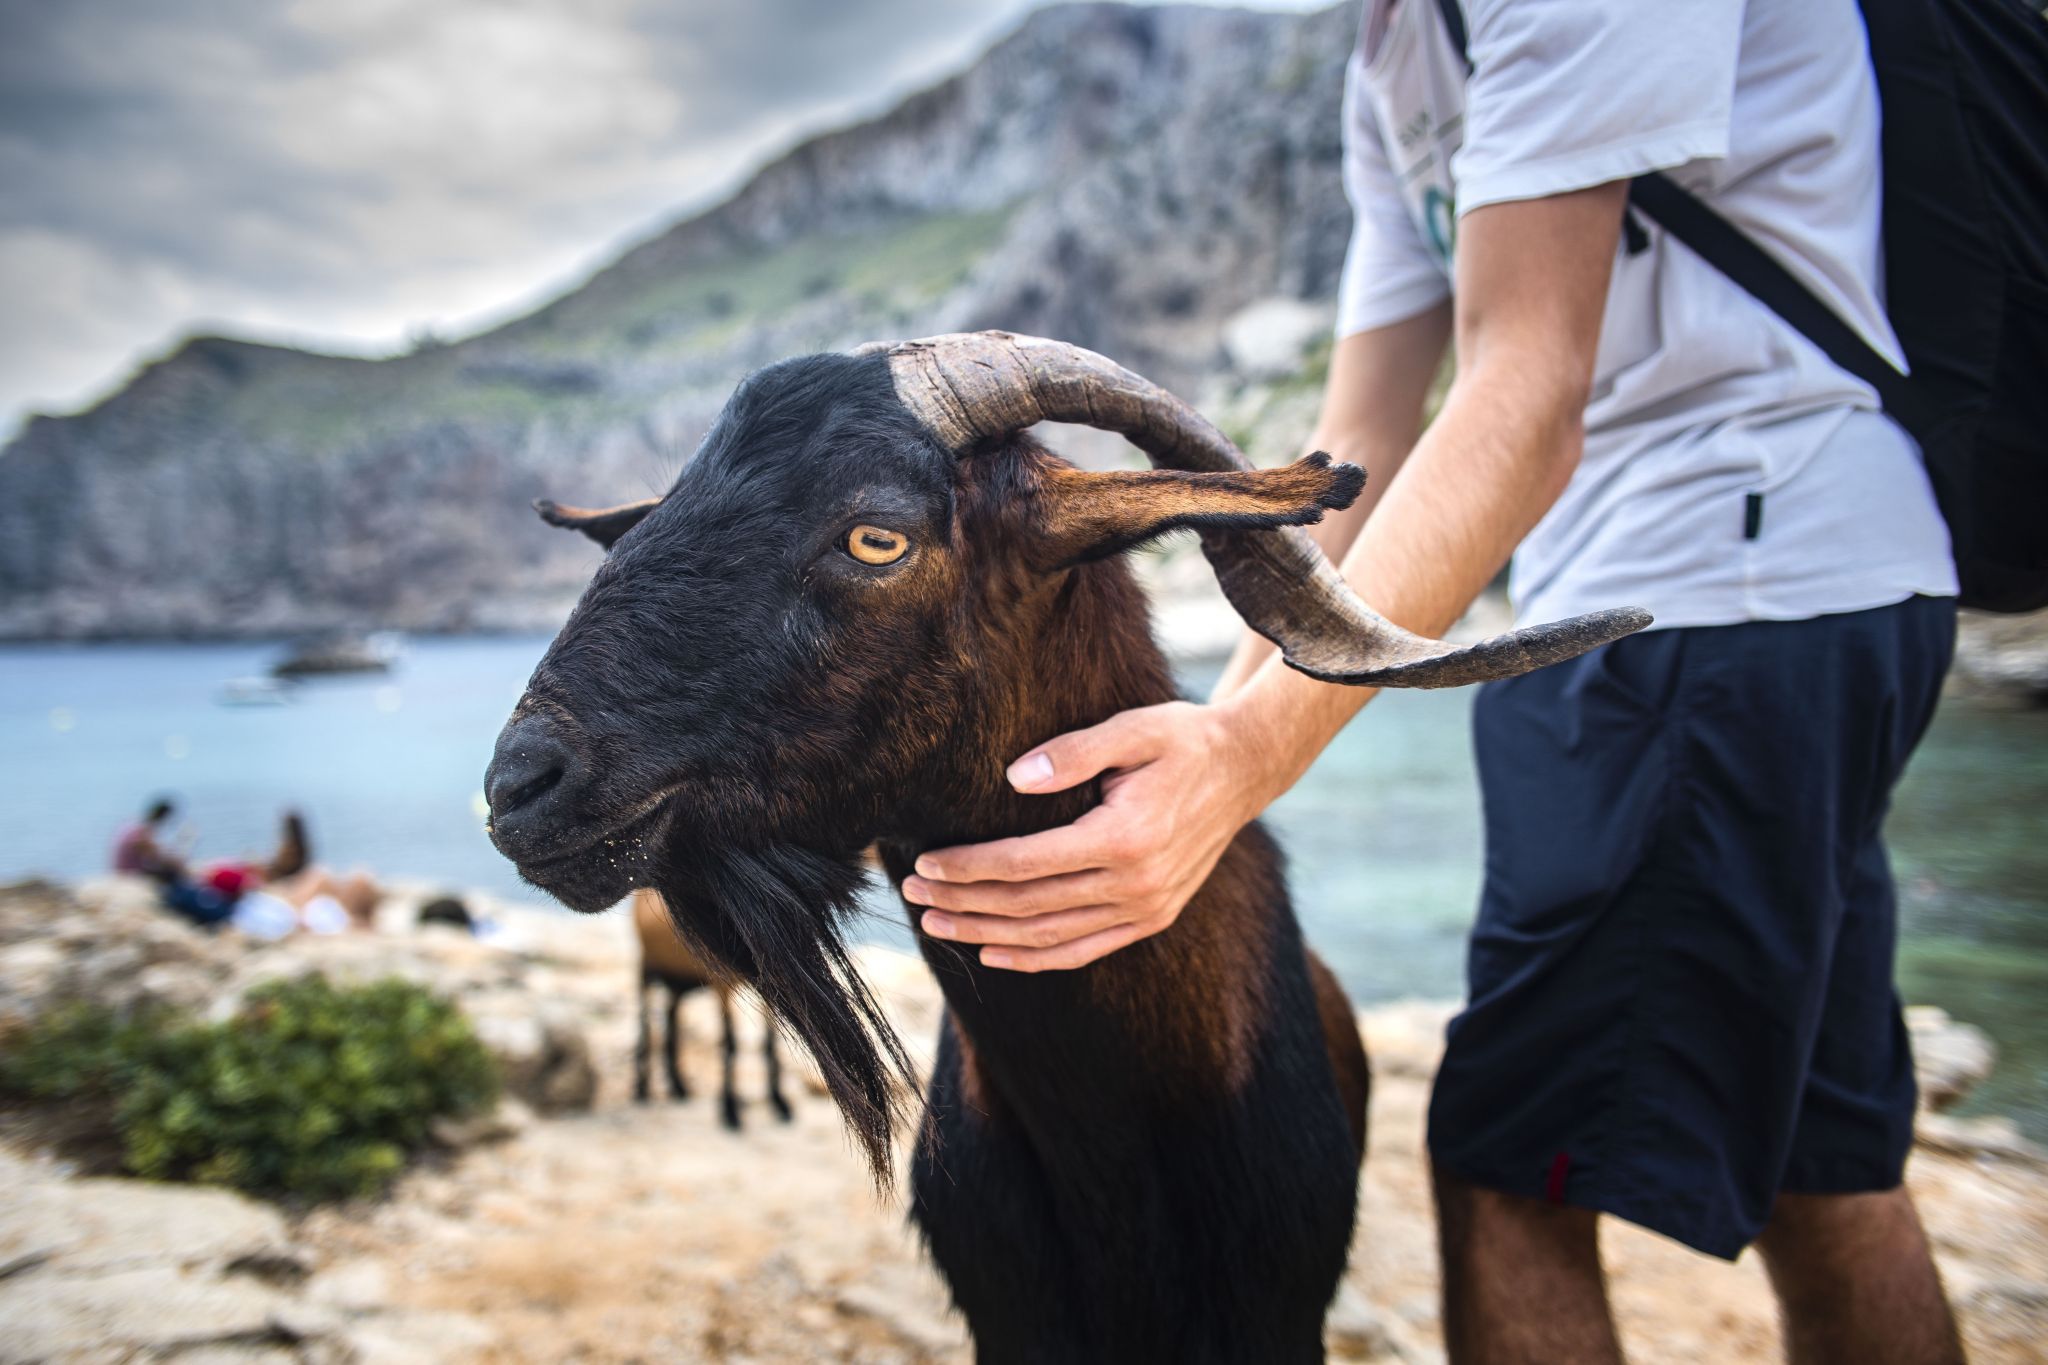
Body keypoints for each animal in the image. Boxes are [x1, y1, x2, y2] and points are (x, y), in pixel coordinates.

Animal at [630, 887, 791, 1127]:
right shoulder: (722, 984)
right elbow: (729, 1041)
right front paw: (730, 1109)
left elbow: (770, 1043)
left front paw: (779, 1102)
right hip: (647, 968)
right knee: (645, 1021)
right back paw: (641, 1090)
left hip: (679, 981)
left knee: (671, 1015)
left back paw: (678, 1087)